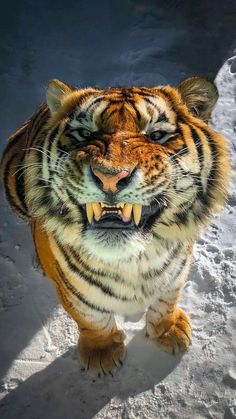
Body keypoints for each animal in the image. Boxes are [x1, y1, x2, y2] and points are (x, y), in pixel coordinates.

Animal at [0, 77, 230, 376]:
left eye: (156, 135)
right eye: (84, 133)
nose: (109, 176)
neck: (134, 261)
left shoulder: (177, 270)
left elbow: (167, 300)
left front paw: (169, 331)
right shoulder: (73, 291)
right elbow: (91, 318)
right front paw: (102, 354)